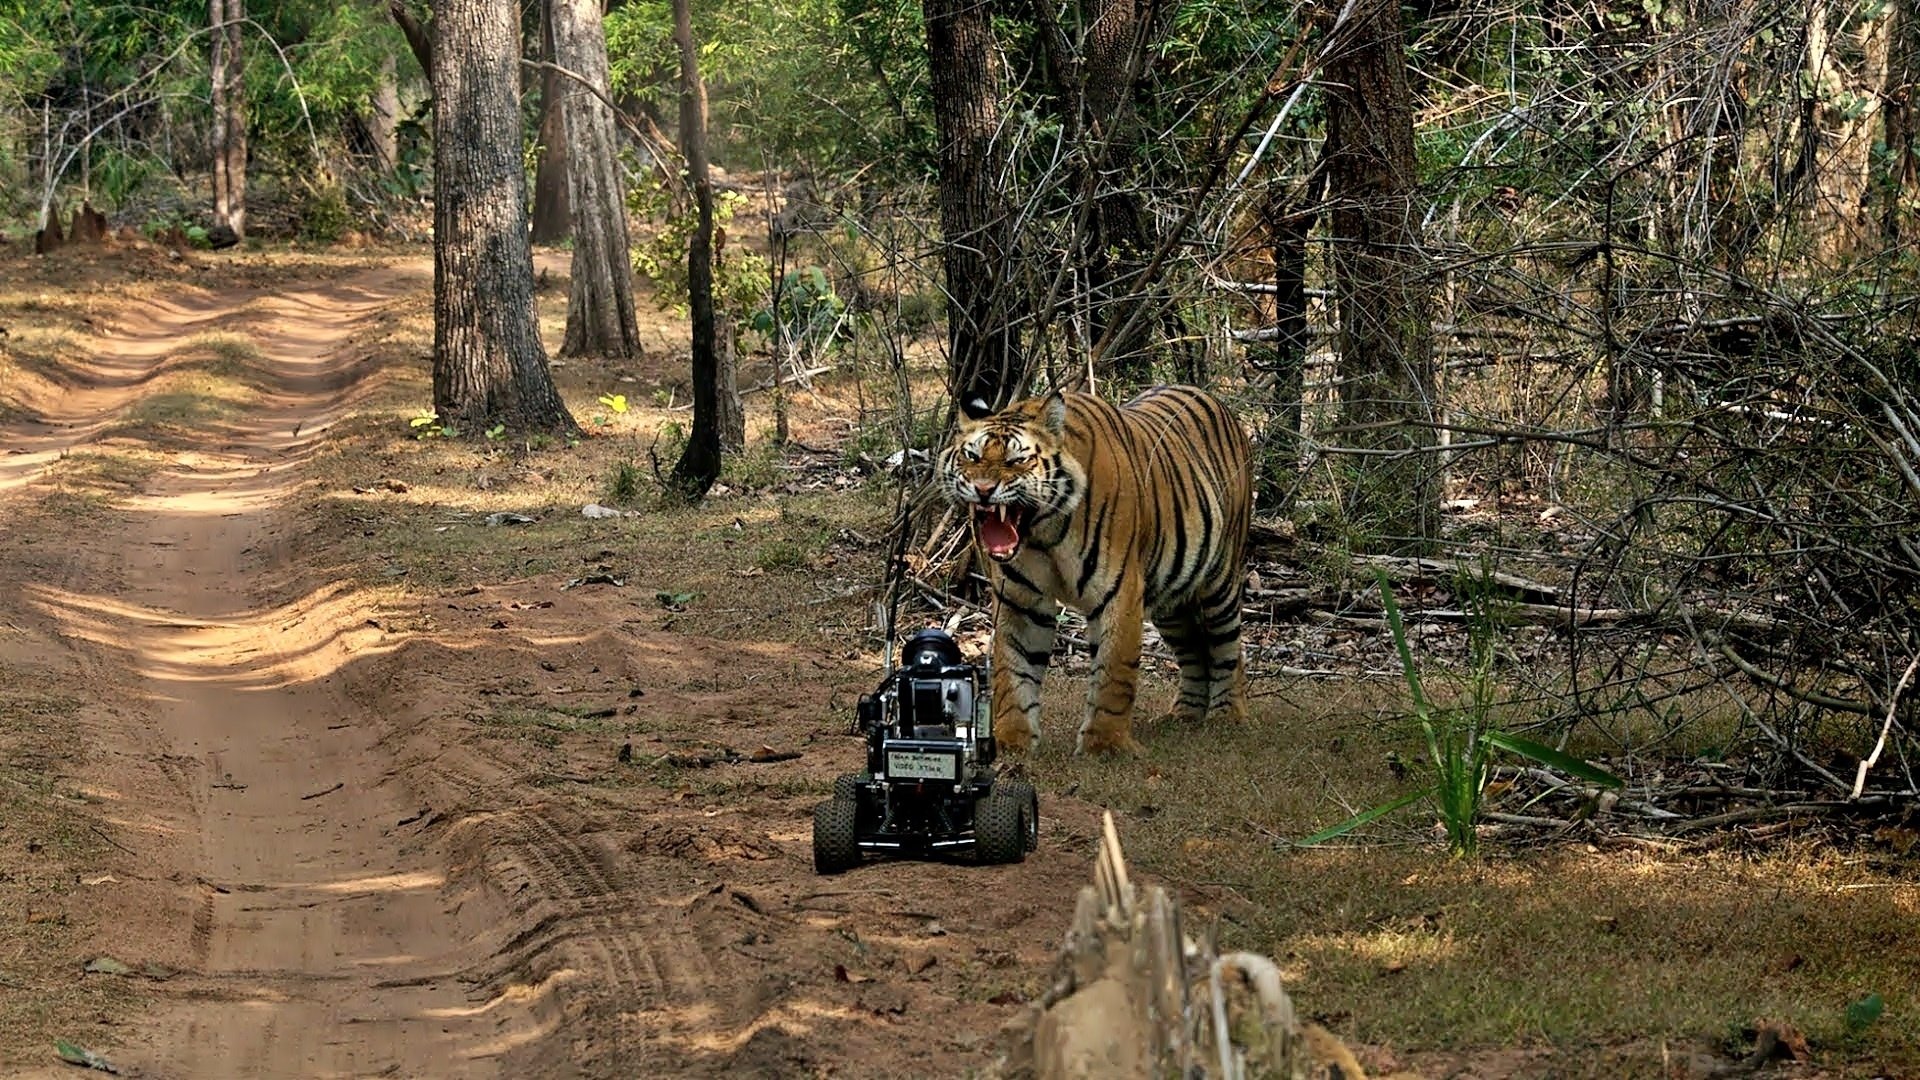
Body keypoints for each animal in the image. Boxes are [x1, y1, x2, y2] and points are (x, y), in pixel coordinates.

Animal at [936, 382, 1251, 753]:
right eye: (972, 457)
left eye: (1017, 460)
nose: (983, 490)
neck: (1043, 534)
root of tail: (1216, 401)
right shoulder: (1019, 601)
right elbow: (1013, 670)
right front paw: (1012, 740)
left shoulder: (1120, 592)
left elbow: (1113, 671)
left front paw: (1105, 744)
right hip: (1172, 596)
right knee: (1194, 648)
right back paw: (1184, 715)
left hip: (1221, 581)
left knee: (1228, 646)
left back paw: (1227, 715)